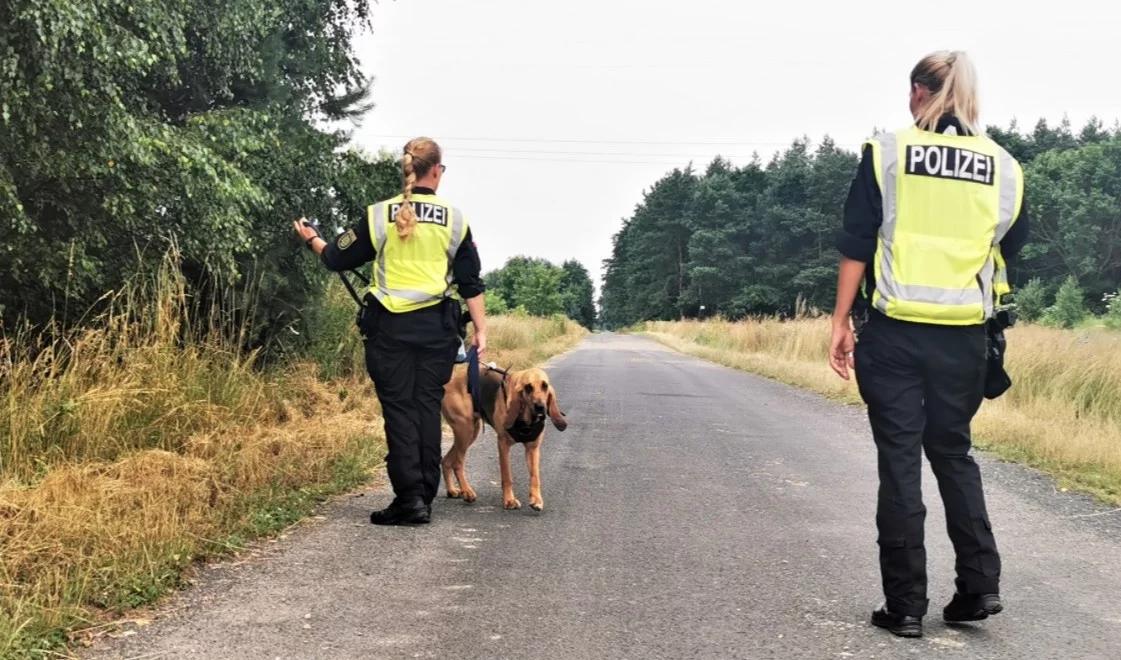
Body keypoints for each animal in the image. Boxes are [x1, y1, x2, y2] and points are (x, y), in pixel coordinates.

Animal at [439, 365, 564, 508]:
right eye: (528, 387)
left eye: (545, 386)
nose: (540, 407)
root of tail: (449, 382)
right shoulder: (503, 445)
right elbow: (507, 476)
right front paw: (509, 500)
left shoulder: (533, 448)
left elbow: (535, 476)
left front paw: (536, 499)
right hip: (465, 430)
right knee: (457, 464)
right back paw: (467, 491)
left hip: (470, 433)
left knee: (446, 461)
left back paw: (451, 490)